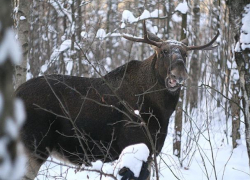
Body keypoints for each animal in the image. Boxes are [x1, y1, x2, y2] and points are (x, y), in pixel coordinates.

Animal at [16, 20, 219, 179]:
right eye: (163, 51)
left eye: (185, 54)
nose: (179, 73)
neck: (162, 111)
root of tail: (15, 93)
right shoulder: (134, 148)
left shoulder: (150, 154)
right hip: (34, 147)